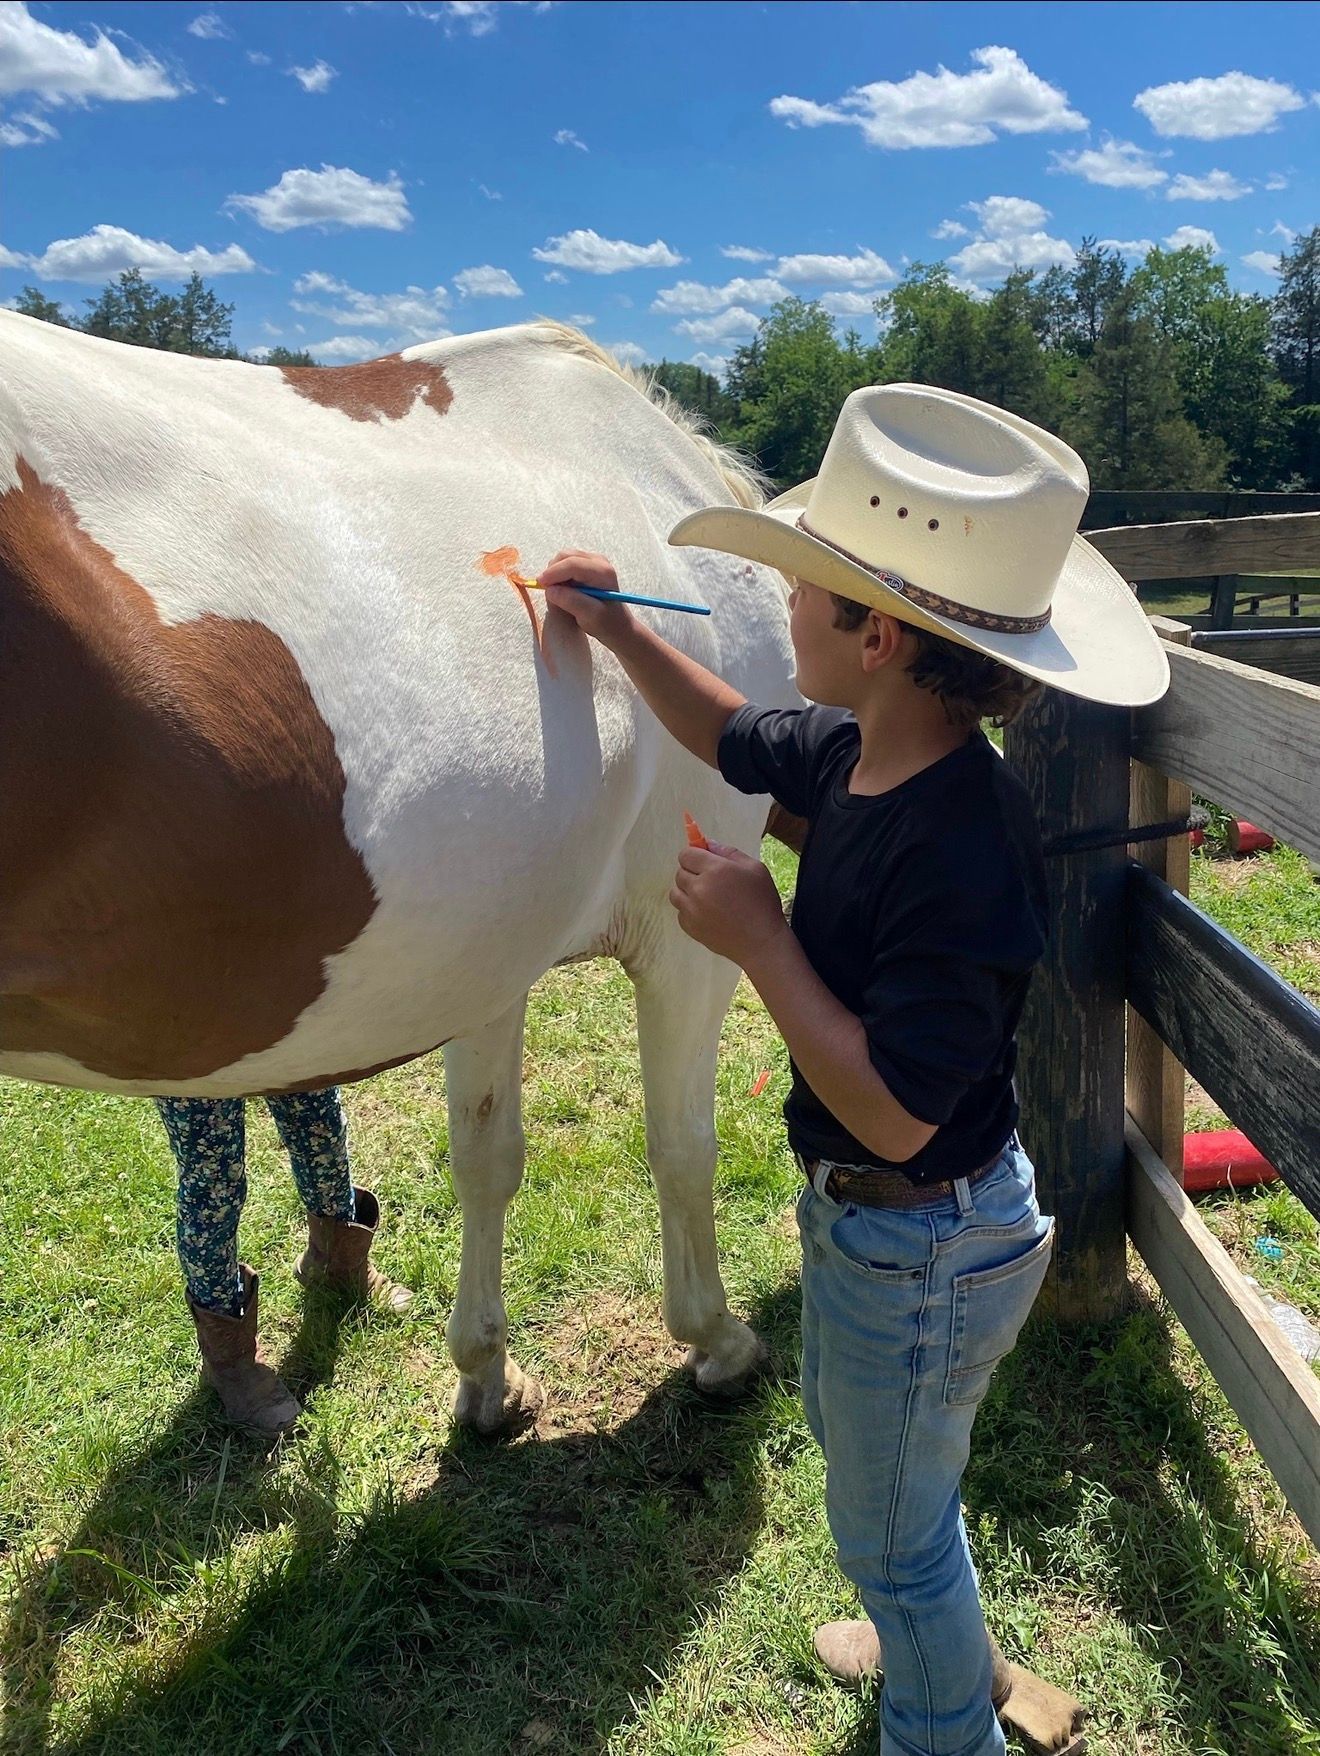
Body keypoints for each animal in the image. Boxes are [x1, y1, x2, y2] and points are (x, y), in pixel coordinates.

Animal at [0, 313, 799, 1433]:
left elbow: (486, 1159)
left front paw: (486, 1377)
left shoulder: (483, 958)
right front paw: (716, 1340)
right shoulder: (688, 941)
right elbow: (683, 1146)